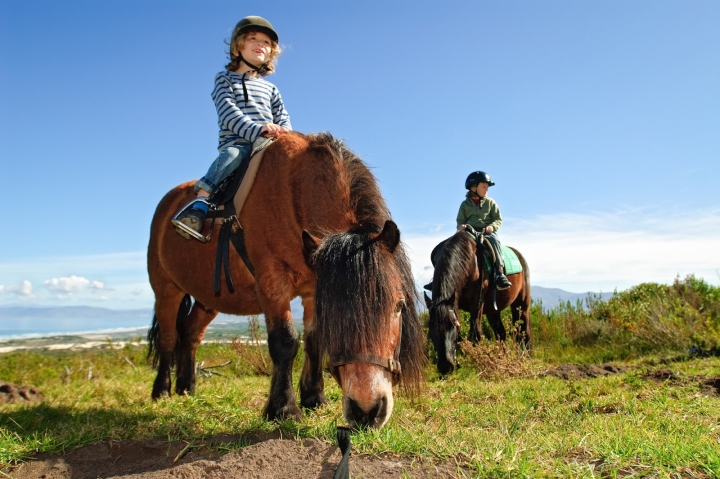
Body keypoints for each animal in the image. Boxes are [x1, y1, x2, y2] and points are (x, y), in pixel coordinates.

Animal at [148, 133, 424, 430]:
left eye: (399, 306)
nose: (367, 410)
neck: (294, 191)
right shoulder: (273, 282)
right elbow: (285, 342)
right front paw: (284, 408)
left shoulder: (314, 290)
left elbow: (314, 341)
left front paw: (314, 397)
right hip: (167, 291)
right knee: (168, 338)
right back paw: (161, 390)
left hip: (207, 300)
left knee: (190, 334)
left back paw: (186, 386)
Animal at [424, 230, 532, 376]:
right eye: (431, 328)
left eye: (453, 325)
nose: (446, 367)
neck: (470, 262)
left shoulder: (477, 304)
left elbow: (475, 334)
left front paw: (474, 361)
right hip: (493, 311)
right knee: (501, 333)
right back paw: (502, 357)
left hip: (521, 306)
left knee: (524, 332)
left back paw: (525, 357)